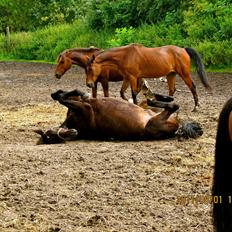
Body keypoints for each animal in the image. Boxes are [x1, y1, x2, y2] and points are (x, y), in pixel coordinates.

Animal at [34, 88, 203, 143]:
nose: (73, 133)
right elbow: (65, 99)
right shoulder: (85, 107)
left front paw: (59, 92)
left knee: (164, 101)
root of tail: (176, 129)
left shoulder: (80, 105)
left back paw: (154, 96)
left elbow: (64, 96)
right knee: (173, 106)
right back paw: (153, 99)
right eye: (50, 137)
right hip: (153, 121)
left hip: (148, 110)